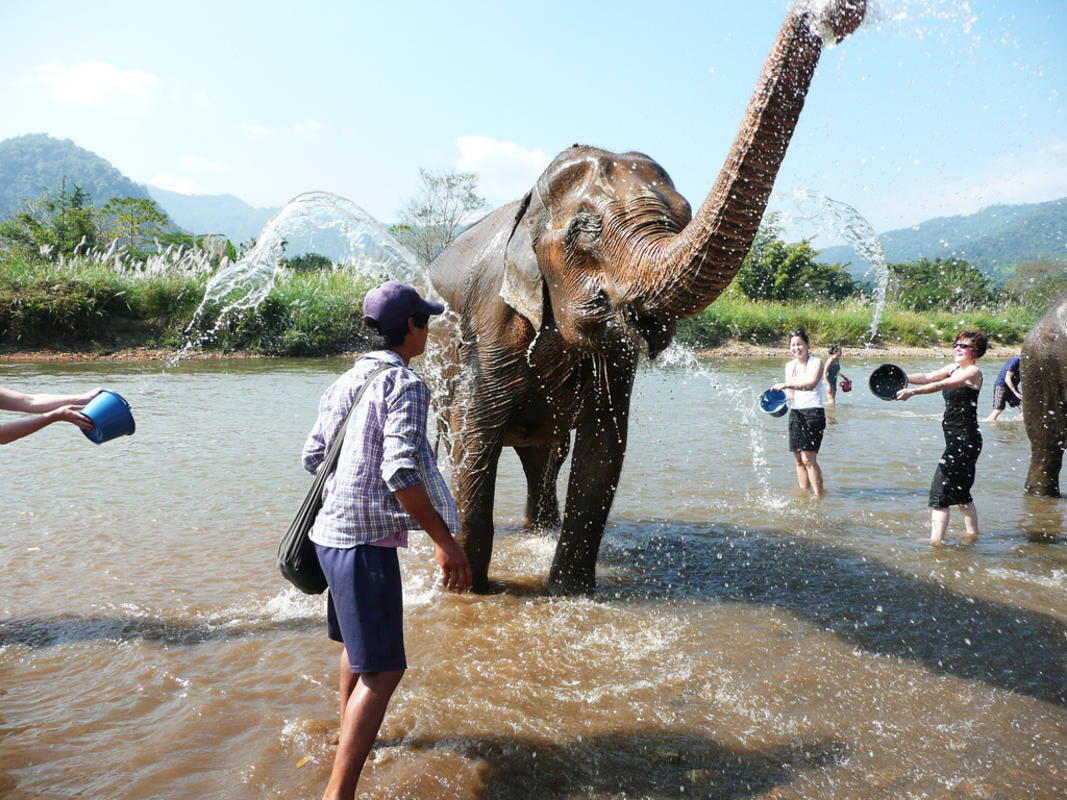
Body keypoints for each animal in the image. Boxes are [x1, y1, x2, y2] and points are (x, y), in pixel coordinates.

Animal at [424, 0, 866, 597]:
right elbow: (475, 447)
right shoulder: (488, 331)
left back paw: (540, 531)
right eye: (586, 229)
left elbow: (603, 453)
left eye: (682, 217)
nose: (839, 13)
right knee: (465, 444)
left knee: (547, 457)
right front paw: (467, 593)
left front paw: (570, 596)